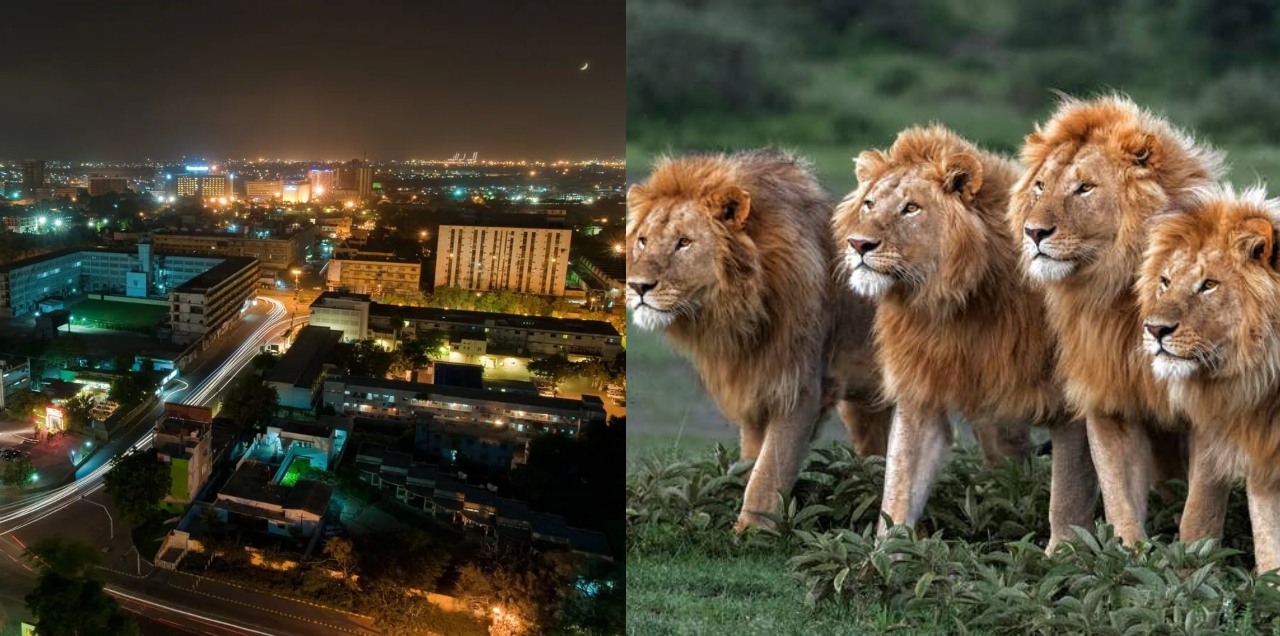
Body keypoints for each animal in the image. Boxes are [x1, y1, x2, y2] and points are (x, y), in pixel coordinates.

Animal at [625, 150, 892, 531]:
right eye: (643, 241)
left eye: (684, 243)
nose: (637, 286)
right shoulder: (753, 384)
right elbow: (750, 462)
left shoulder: (800, 386)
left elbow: (769, 471)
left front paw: (753, 533)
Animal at [833, 125, 1097, 551]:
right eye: (869, 204)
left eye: (911, 209)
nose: (858, 244)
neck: (957, 305)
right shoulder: (921, 390)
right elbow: (900, 482)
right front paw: (886, 554)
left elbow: (1069, 490)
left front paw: (1064, 552)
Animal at [1009, 95, 1229, 545]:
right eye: (1040, 186)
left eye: (1084, 187)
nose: (1033, 232)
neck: (1119, 292)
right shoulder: (1109, 398)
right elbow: (1117, 495)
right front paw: (1129, 555)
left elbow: (1201, 508)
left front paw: (1192, 560)